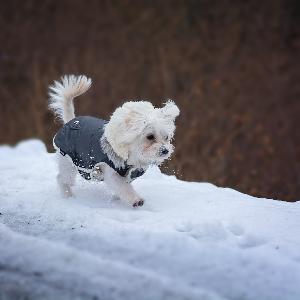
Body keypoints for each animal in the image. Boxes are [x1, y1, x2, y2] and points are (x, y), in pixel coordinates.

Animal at [48, 75, 179, 206]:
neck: (131, 156)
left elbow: (122, 188)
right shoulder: (111, 172)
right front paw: (136, 199)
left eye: (166, 137)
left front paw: (118, 199)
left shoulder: (129, 175)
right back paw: (68, 195)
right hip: (67, 161)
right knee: (62, 179)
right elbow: (123, 187)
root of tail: (71, 121)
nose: (165, 151)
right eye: (150, 136)